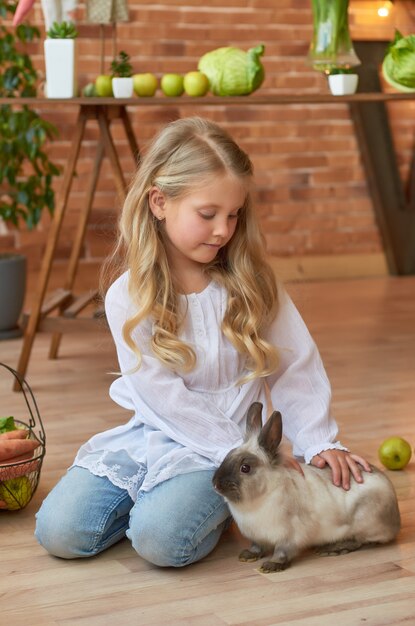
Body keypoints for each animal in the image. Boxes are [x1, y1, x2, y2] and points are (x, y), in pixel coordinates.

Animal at [213, 400, 402, 572]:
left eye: (245, 468)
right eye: (227, 456)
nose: (215, 484)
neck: (260, 498)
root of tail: (396, 520)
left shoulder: (289, 536)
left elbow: (282, 552)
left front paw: (270, 566)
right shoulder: (257, 537)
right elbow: (257, 547)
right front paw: (247, 556)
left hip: (363, 521)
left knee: (359, 541)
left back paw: (331, 549)